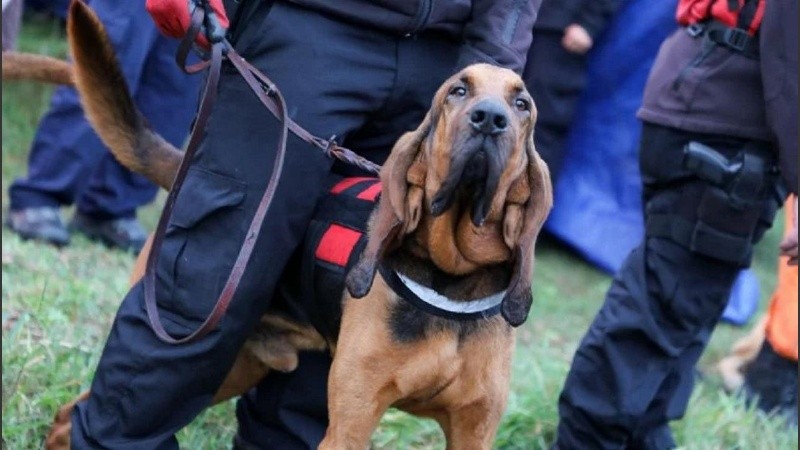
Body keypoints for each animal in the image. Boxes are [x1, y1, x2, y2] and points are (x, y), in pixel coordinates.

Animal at [39, 1, 552, 448]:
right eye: (457, 92)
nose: (490, 120)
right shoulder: (350, 423)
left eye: (522, 103)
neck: (451, 279)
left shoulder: (473, 429)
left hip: (239, 367)